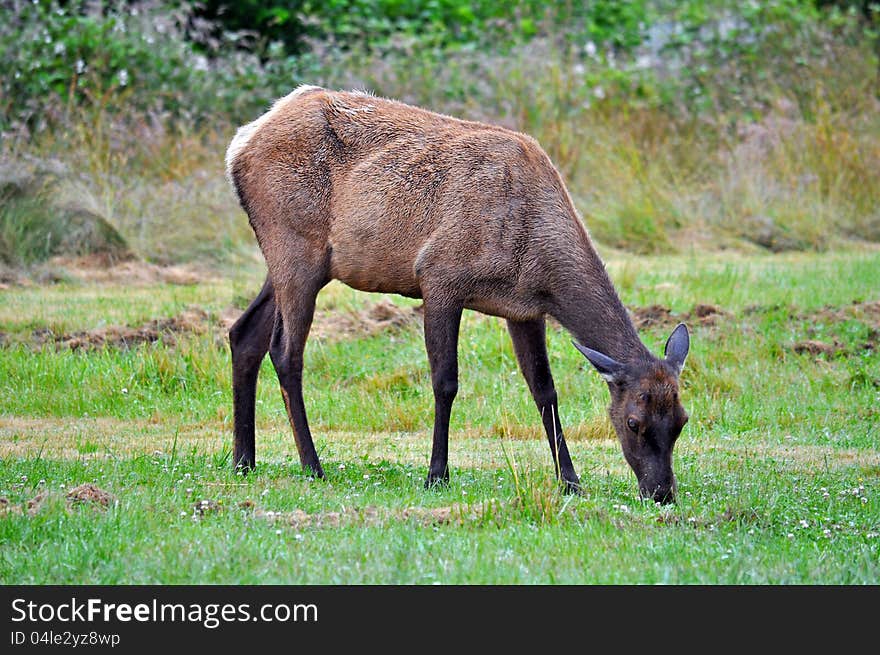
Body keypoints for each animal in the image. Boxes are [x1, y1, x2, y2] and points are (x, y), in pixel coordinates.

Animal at [223, 84, 692, 504]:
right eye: (633, 422)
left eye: (682, 420)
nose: (661, 492)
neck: (536, 260)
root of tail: (239, 144)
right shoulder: (439, 277)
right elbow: (445, 381)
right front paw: (436, 474)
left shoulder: (523, 309)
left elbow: (544, 390)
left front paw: (571, 481)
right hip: (296, 245)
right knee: (286, 351)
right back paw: (312, 465)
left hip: (290, 259)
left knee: (243, 334)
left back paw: (243, 460)